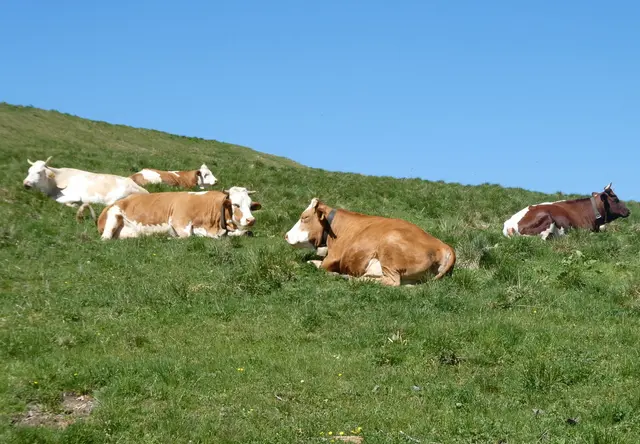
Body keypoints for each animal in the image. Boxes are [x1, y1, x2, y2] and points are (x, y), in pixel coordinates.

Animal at [97, 186, 262, 240]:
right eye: (236, 204)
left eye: (250, 205)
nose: (251, 220)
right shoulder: (179, 221)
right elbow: (187, 236)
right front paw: (171, 237)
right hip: (113, 216)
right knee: (105, 238)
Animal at [284, 198, 456, 286]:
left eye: (304, 217)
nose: (286, 235)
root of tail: (444, 247)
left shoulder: (333, 257)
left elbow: (317, 265)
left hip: (390, 247)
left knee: (391, 282)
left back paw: (344, 277)